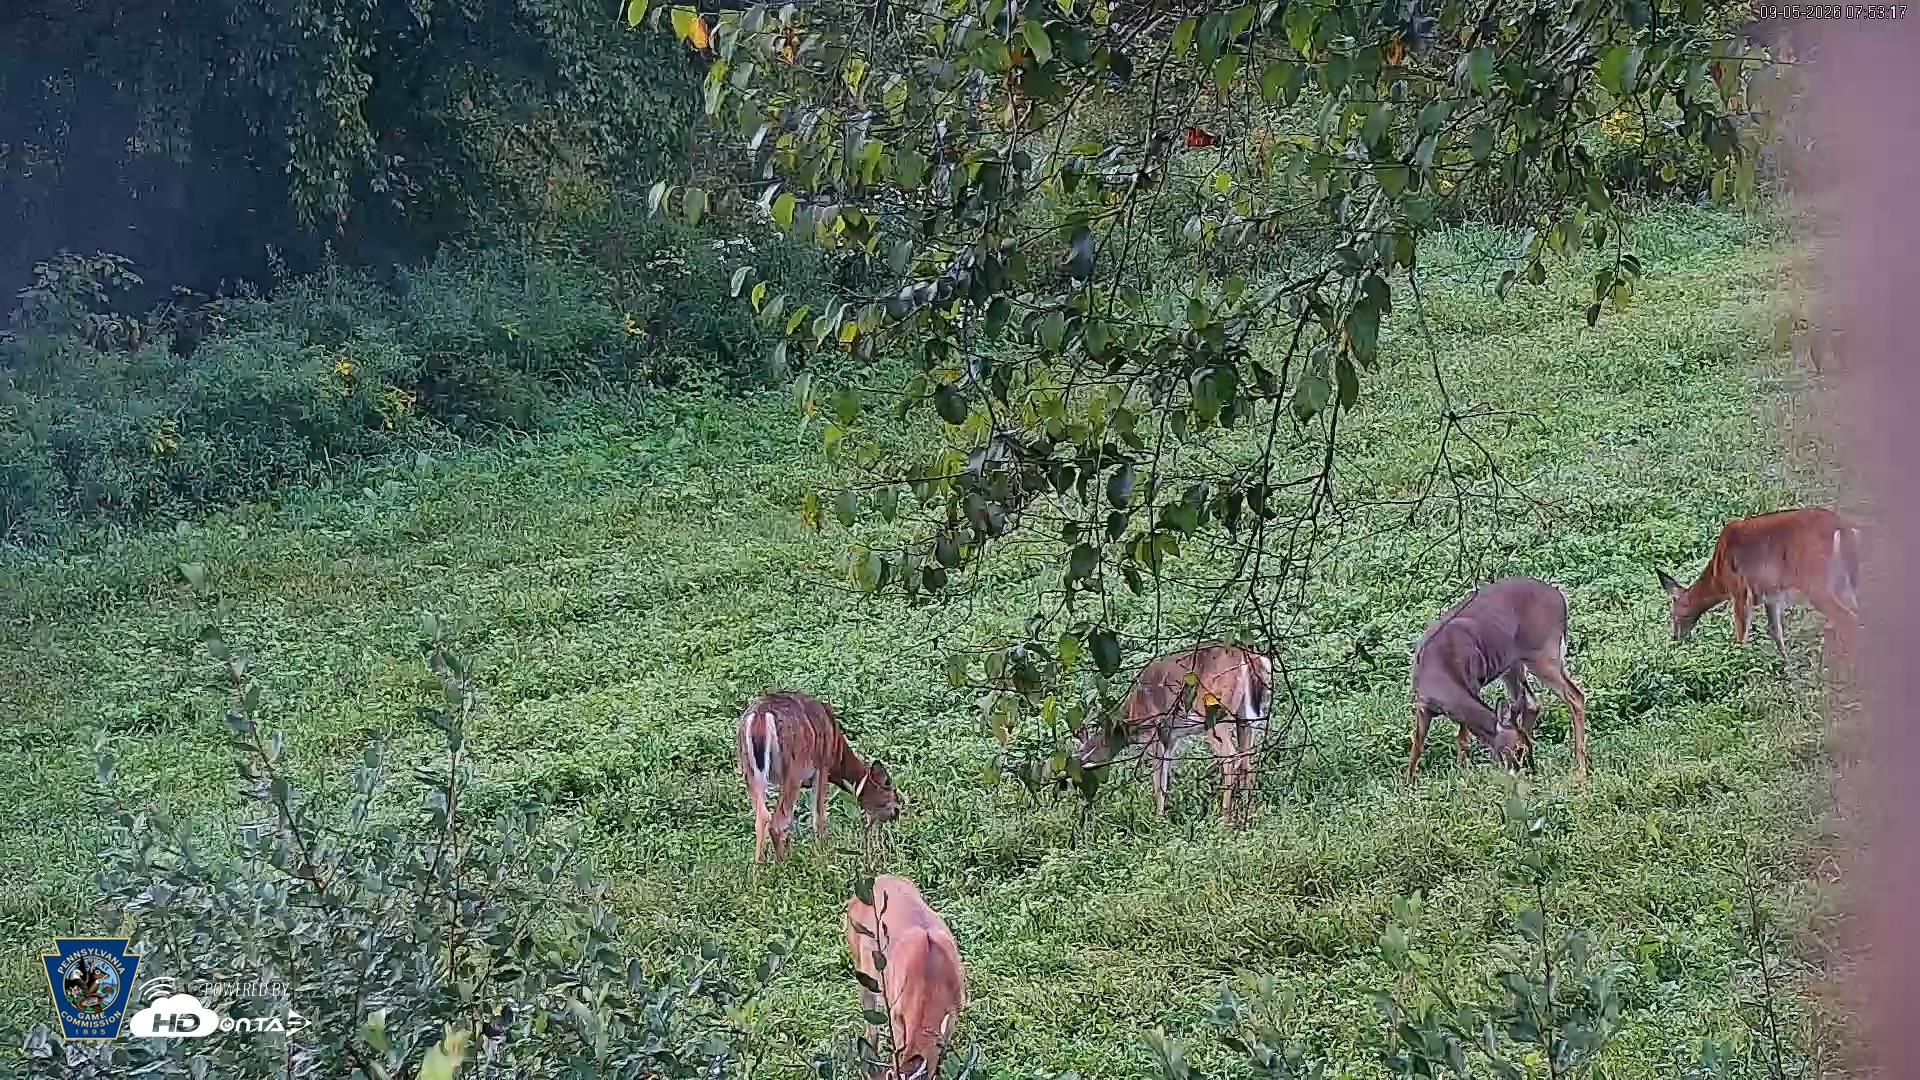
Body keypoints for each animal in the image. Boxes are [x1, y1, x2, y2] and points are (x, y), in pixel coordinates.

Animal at [736, 691, 900, 863]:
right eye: (893, 797)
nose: (896, 816)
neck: (837, 755)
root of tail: (760, 717)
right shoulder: (822, 766)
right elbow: (818, 817)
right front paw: (823, 855)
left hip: (749, 769)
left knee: (762, 817)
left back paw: (759, 866)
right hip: (793, 769)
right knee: (777, 823)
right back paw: (782, 864)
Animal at [1073, 641, 1272, 824]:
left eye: (1092, 752)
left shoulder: (1155, 731)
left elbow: (1156, 779)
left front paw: (1156, 819)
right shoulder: (1171, 738)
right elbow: (1164, 778)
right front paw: (1162, 817)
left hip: (1214, 711)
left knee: (1230, 757)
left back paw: (1225, 819)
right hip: (1246, 716)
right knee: (1248, 760)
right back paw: (1245, 816)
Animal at [1408, 577, 1589, 782]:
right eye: (1519, 748)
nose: (1525, 769)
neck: (1439, 674)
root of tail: (1561, 599)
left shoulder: (1472, 685)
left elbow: (1462, 739)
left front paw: (1465, 775)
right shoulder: (1423, 705)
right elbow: (1416, 747)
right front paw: (1407, 784)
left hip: (1543, 652)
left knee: (1574, 695)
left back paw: (1581, 770)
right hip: (1514, 663)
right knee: (1531, 702)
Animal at [1656, 507, 1861, 669]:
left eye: (1674, 615)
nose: (1675, 639)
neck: (1718, 575)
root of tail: (1842, 528)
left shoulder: (1739, 589)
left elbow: (1741, 633)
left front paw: (1739, 665)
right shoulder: (1771, 595)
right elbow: (1775, 630)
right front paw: (1787, 667)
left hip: (1816, 582)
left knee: (1847, 619)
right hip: (1846, 583)